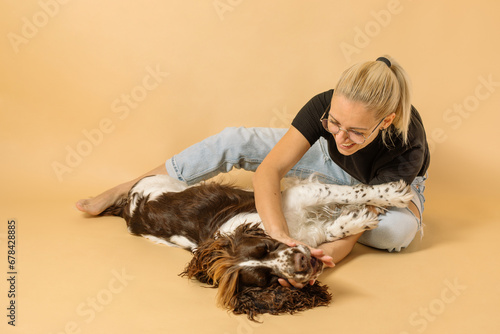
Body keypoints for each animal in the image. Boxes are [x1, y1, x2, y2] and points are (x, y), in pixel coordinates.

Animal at [101, 174, 414, 320]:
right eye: (267, 280)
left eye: (265, 246)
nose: (301, 264)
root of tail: (128, 207)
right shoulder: (307, 228)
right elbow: (333, 226)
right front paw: (360, 217)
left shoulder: (301, 195)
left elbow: (351, 193)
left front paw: (393, 194)